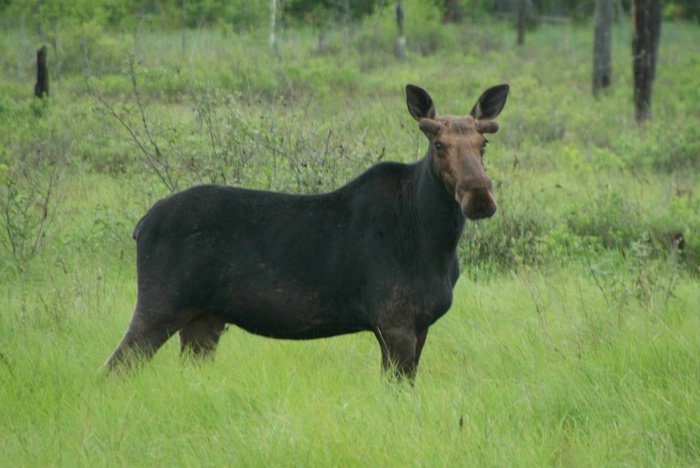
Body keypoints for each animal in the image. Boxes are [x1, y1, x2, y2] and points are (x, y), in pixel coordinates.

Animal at [104, 83, 508, 384]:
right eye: (438, 145)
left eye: (483, 144)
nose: (479, 196)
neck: (435, 244)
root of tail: (140, 226)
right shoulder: (393, 322)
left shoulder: (419, 324)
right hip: (161, 304)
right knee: (113, 369)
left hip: (203, 319)